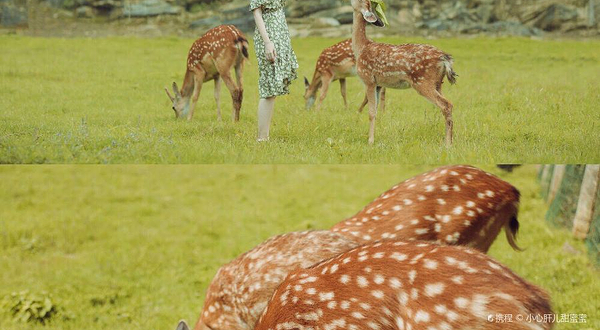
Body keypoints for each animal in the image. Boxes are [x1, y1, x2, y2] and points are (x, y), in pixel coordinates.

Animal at [350, 0, 458, 145]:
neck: (361, 48)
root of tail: (444, 58)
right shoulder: (378, 84)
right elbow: (376, 111)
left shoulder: (368, 80)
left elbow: (371, 112)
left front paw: (370, 141)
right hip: (438, 83)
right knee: (448, 103)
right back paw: (450, 140)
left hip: (422, 81)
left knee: (446, 105)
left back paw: (447, 143)